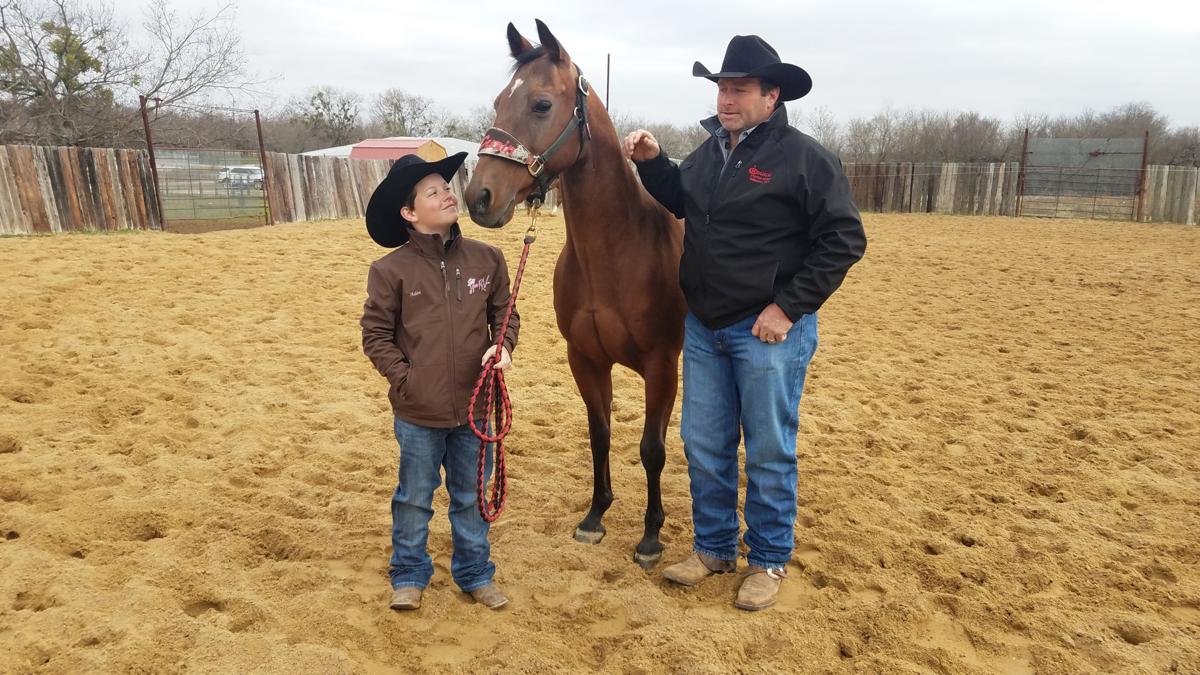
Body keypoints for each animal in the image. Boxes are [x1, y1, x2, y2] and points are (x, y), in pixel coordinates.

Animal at [465, 19, 686, 566]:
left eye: (542, 104)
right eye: (498, 101)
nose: (479, 197)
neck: (618, 252)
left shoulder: (660, 364)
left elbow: (652, 448)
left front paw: (650, 536)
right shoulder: (585, 359)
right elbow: (600, 433)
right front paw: (595, 516)